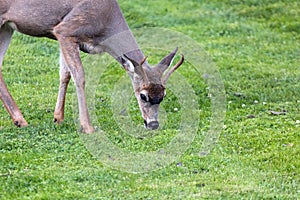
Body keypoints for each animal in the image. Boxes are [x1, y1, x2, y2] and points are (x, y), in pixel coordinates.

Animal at [0, 1, 184, 134]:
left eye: (163, 95)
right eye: (143, 95)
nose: (153, 124)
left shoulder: (65, 37)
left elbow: (65, 74)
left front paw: (58, 118)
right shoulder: (65, 30)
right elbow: (79, 76)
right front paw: (87, 127)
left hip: (7, 27)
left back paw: (19, 120)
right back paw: (21, 120)